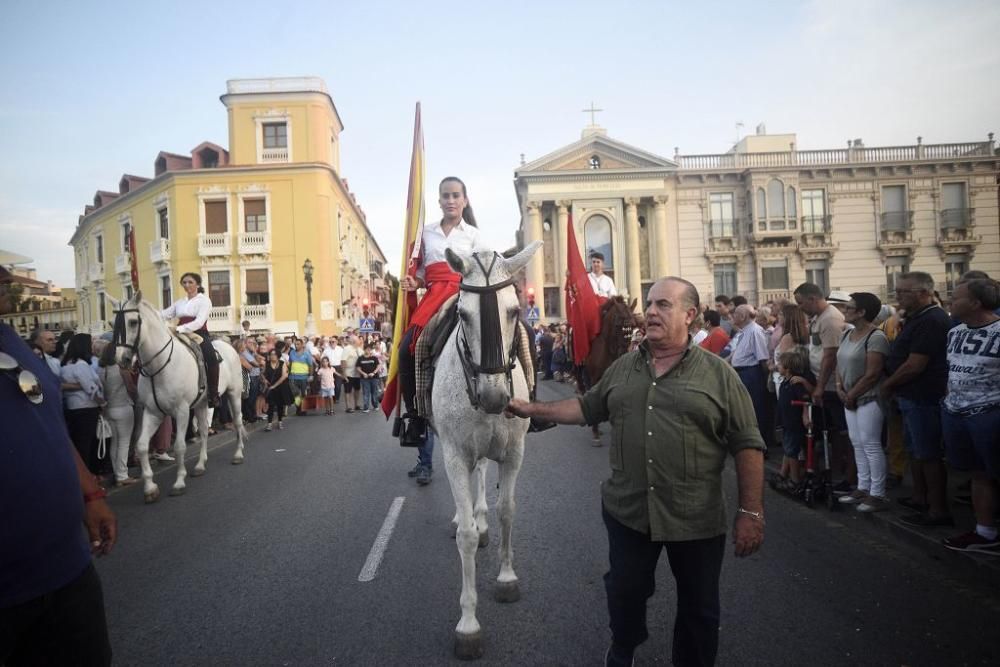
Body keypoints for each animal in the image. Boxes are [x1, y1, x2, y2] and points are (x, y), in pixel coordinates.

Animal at [110, 294, 247, 504]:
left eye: (133, 322)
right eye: (113, 323)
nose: (122, 359)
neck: (159, 367)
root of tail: (229, 345)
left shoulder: (181, 411)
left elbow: (180, 446)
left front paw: (179, 483)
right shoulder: (153, 413)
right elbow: (141, 446)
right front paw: (150, 488)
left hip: (234, 394)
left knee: (238, 422)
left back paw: (238, 454)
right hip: (201, 404)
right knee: (204, 431)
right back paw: (200, 465)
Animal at [430, 243, 540, 660]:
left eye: (514, 310)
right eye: (463, 314)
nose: (495, 399)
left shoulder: (514, 451)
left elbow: (507, 510)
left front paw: (507, 578)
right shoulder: (454, 454)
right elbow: (464, 537)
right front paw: (468, 624)